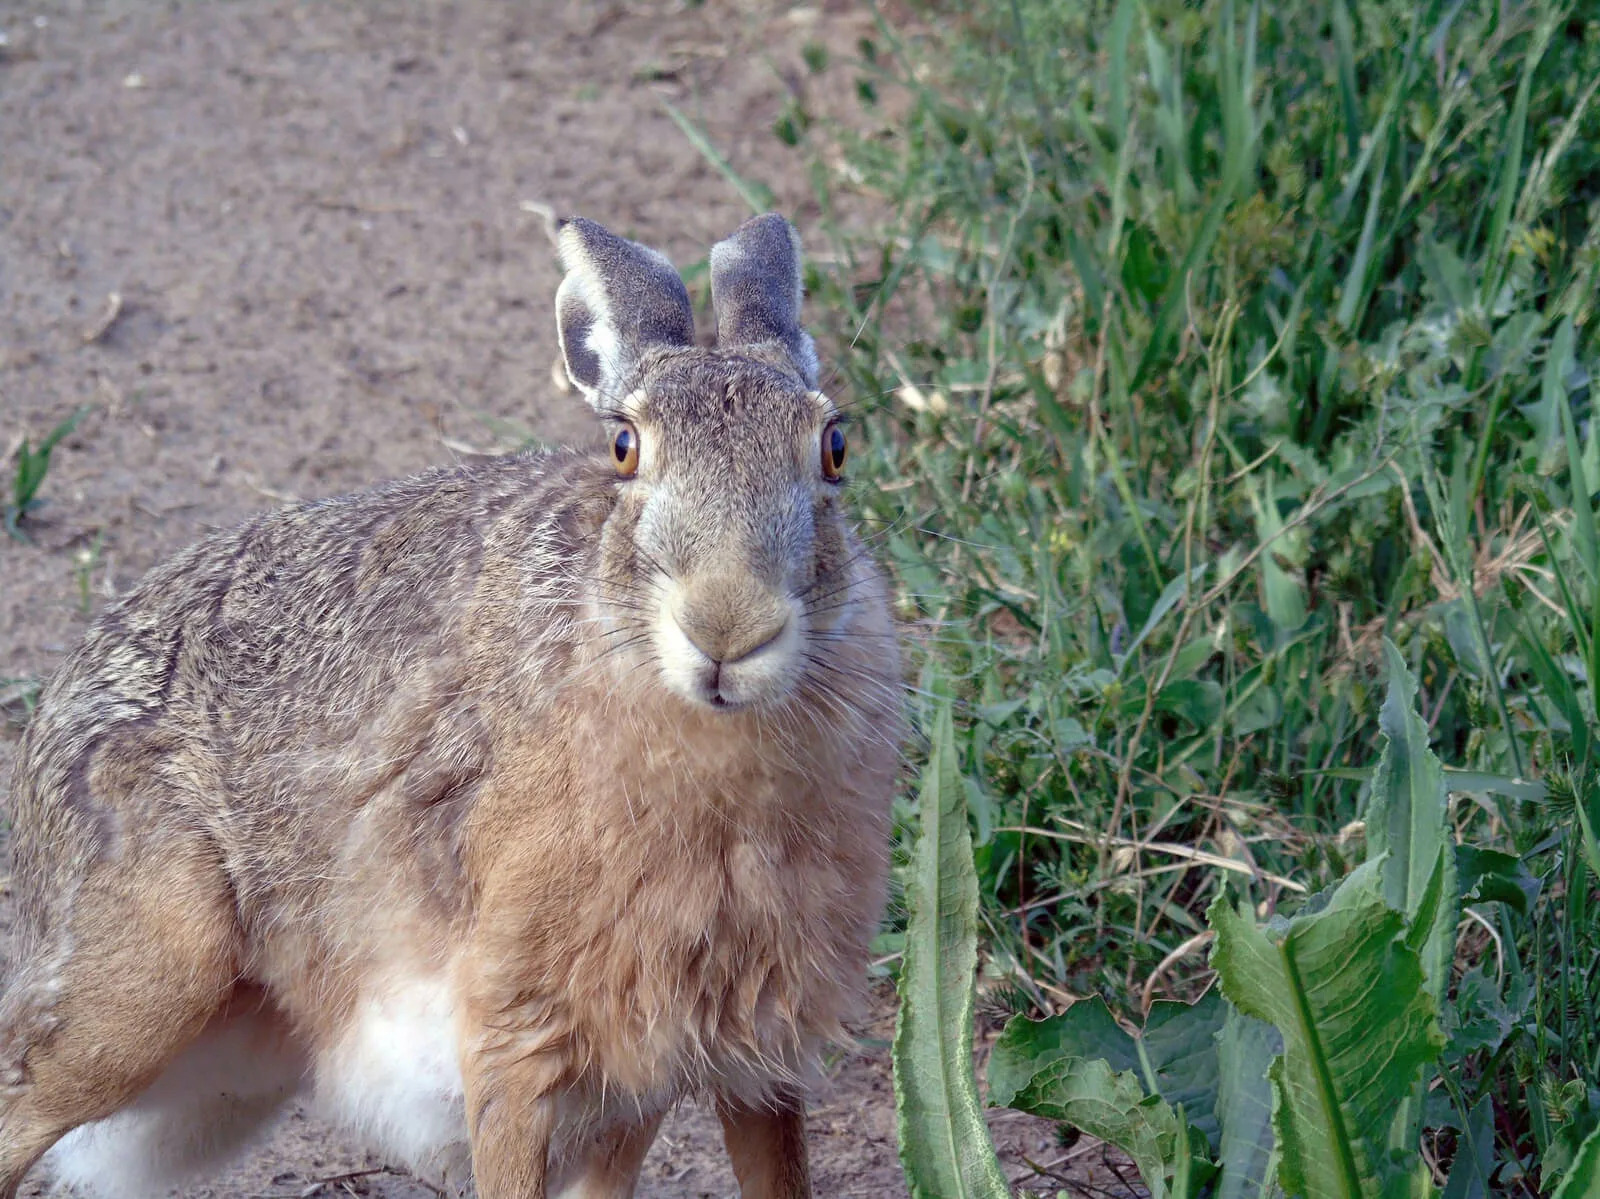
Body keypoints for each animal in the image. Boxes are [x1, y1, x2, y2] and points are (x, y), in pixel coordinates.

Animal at [0, 213, 902, 1199]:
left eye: (835, 447)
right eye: (624, 448)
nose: (727, 626)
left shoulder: (741, 1052)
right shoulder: (517, 1040)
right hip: (148, 982)